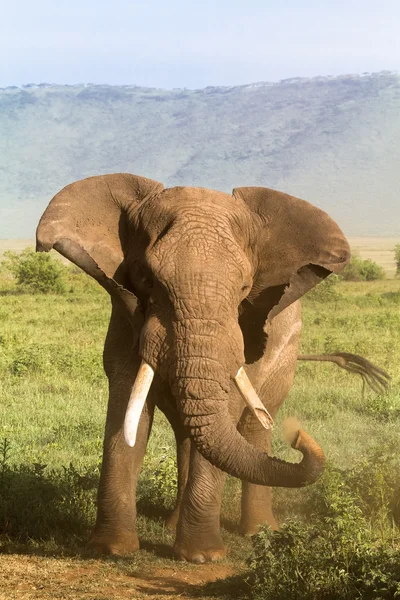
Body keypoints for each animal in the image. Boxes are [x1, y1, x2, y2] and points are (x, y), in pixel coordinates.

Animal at [37, 173, 358, 564]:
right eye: (147, 280)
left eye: (245, 288)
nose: (299, 438)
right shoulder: (125, 313)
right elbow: (127, 411)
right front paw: (111, 551)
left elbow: (229, 405)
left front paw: (204, 557)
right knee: (188, 434)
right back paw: (174, 525)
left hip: (288, 350)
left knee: (252, 427)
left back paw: (257, 531)